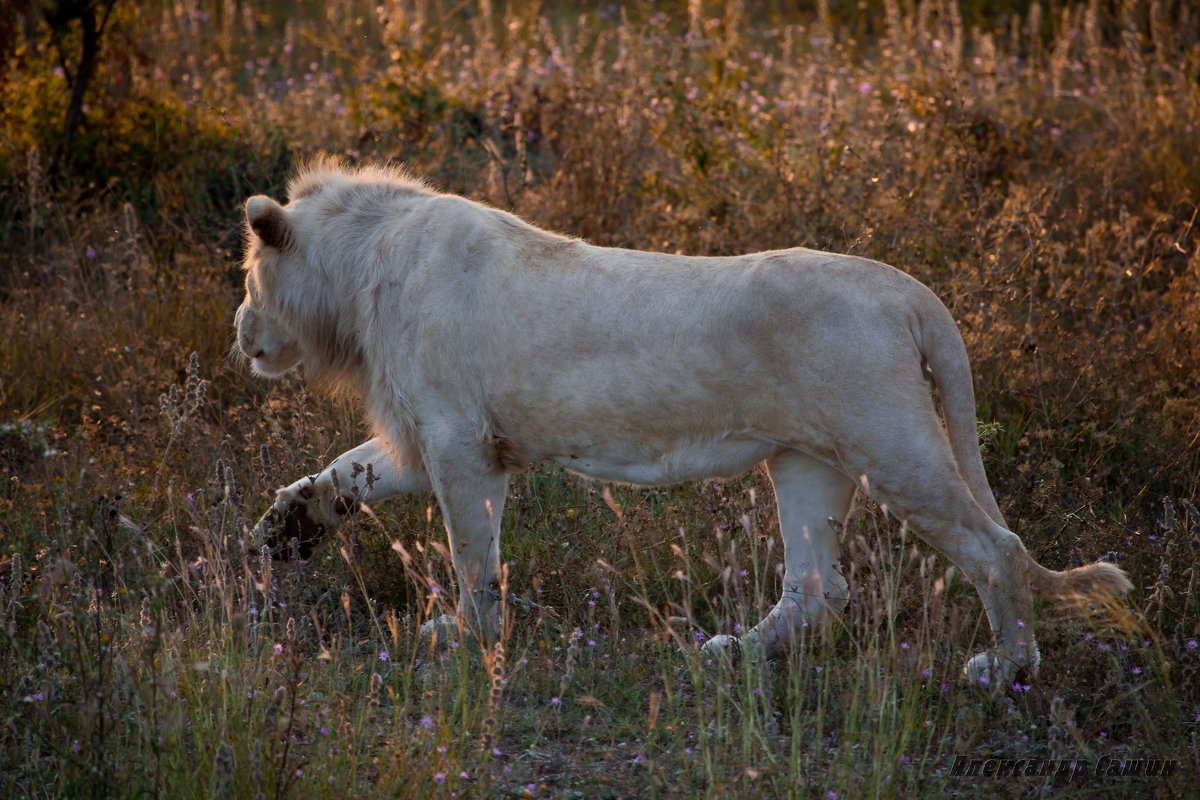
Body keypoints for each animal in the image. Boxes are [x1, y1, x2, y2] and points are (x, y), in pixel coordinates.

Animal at [238, 159, 1128, 686]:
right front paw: (283, 530)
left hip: (893, 446)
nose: (239, 333)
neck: (358, 265)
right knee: (818, 586)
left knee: (994, 547)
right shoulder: (431, 435)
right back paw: (734, 653)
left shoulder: (460, 441)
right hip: (808, 461)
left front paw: (468, 639)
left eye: (248, 275)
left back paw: (1007, 665)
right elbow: (346, 470)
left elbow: (473, 557)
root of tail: (911, 292)